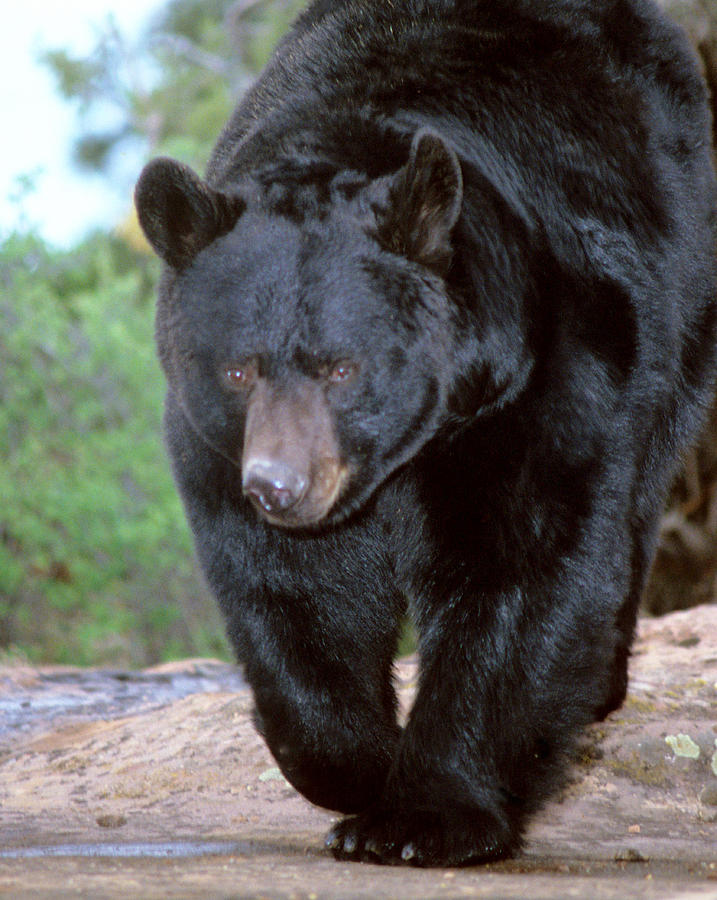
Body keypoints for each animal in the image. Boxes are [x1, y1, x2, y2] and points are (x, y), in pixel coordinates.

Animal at [136, 0, 716, 868]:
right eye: (238, 369)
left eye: (341, 367)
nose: (278, 486)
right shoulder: (216, 446)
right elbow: (290, 587)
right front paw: (358, 764)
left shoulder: (532, 381)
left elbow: (519, 564)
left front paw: (422, 817)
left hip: (683, 303)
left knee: (639, 489)